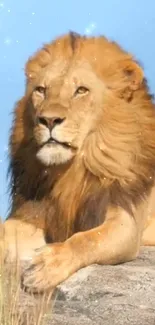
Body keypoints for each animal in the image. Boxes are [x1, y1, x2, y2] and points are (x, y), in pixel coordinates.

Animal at [1, 31, 155, 292]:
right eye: (41, 90)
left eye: (81, 90)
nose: (48, 120)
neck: (73, 171)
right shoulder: (39, 215)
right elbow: (4, 231)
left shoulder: (127, 221)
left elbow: (87, 239)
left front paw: (47, 265)